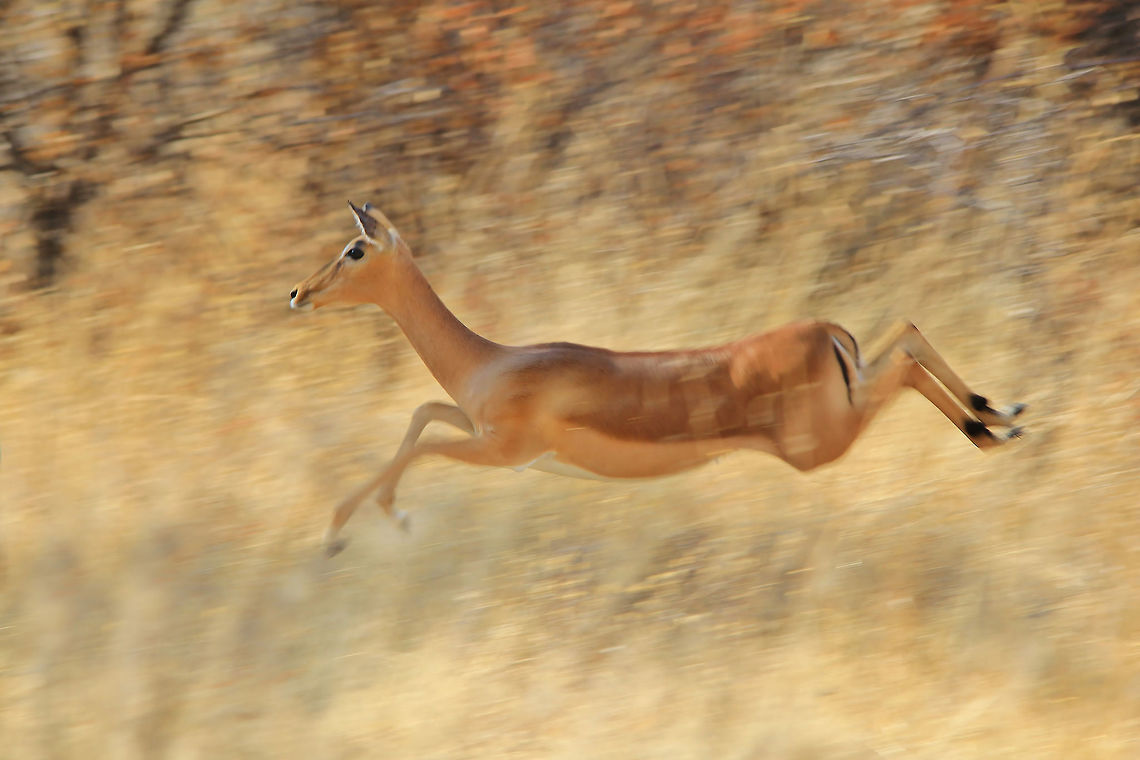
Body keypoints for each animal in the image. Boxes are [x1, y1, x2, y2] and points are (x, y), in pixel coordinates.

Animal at [291, 203, 1025, 556]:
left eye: (354, 249)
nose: (297, 293)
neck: (491, 362)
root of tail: (826, 333)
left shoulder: (505, 451)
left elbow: (419, 445)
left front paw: (353, 529)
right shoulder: (476, 425)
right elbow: (420, 415)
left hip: (820, 443)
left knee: (905, 359)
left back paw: (990, 427)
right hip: (848, 393)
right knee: (906, 327)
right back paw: (1003, 413)